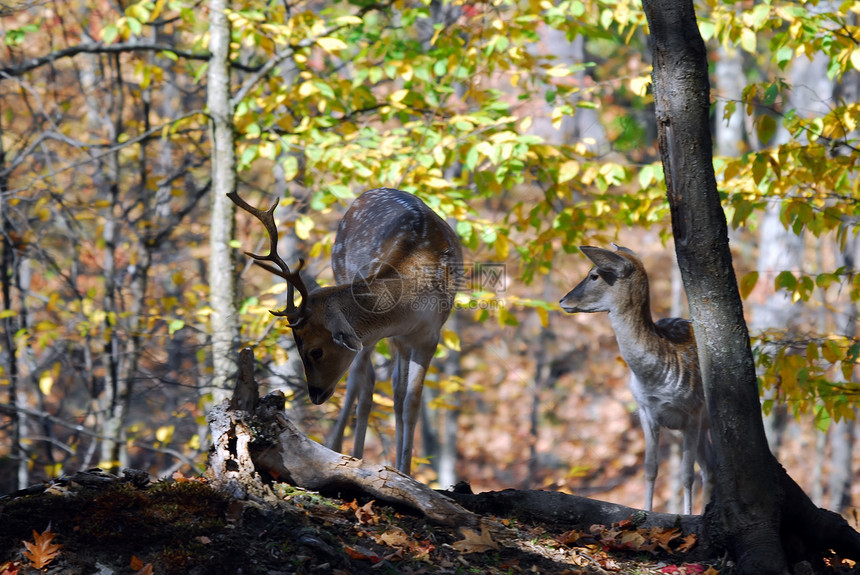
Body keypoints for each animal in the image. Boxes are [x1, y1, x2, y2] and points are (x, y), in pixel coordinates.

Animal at [225, 189, 460, 476]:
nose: (315, 394)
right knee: (364, 382)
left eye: (315, 351)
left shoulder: (429, 335)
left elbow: (411, 403)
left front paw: (406, 471)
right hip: (343, 276)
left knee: (392, 388)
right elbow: (368, 385)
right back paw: (349, 454)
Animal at [556, 245, 712, 516]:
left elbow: (686, 475)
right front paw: (646, 512)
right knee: (710, 467)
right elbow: (650, 469)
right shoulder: (645, 410)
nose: (562, 300)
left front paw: (687, 516)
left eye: (594, 274)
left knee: (706, 468)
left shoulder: (693, 411)